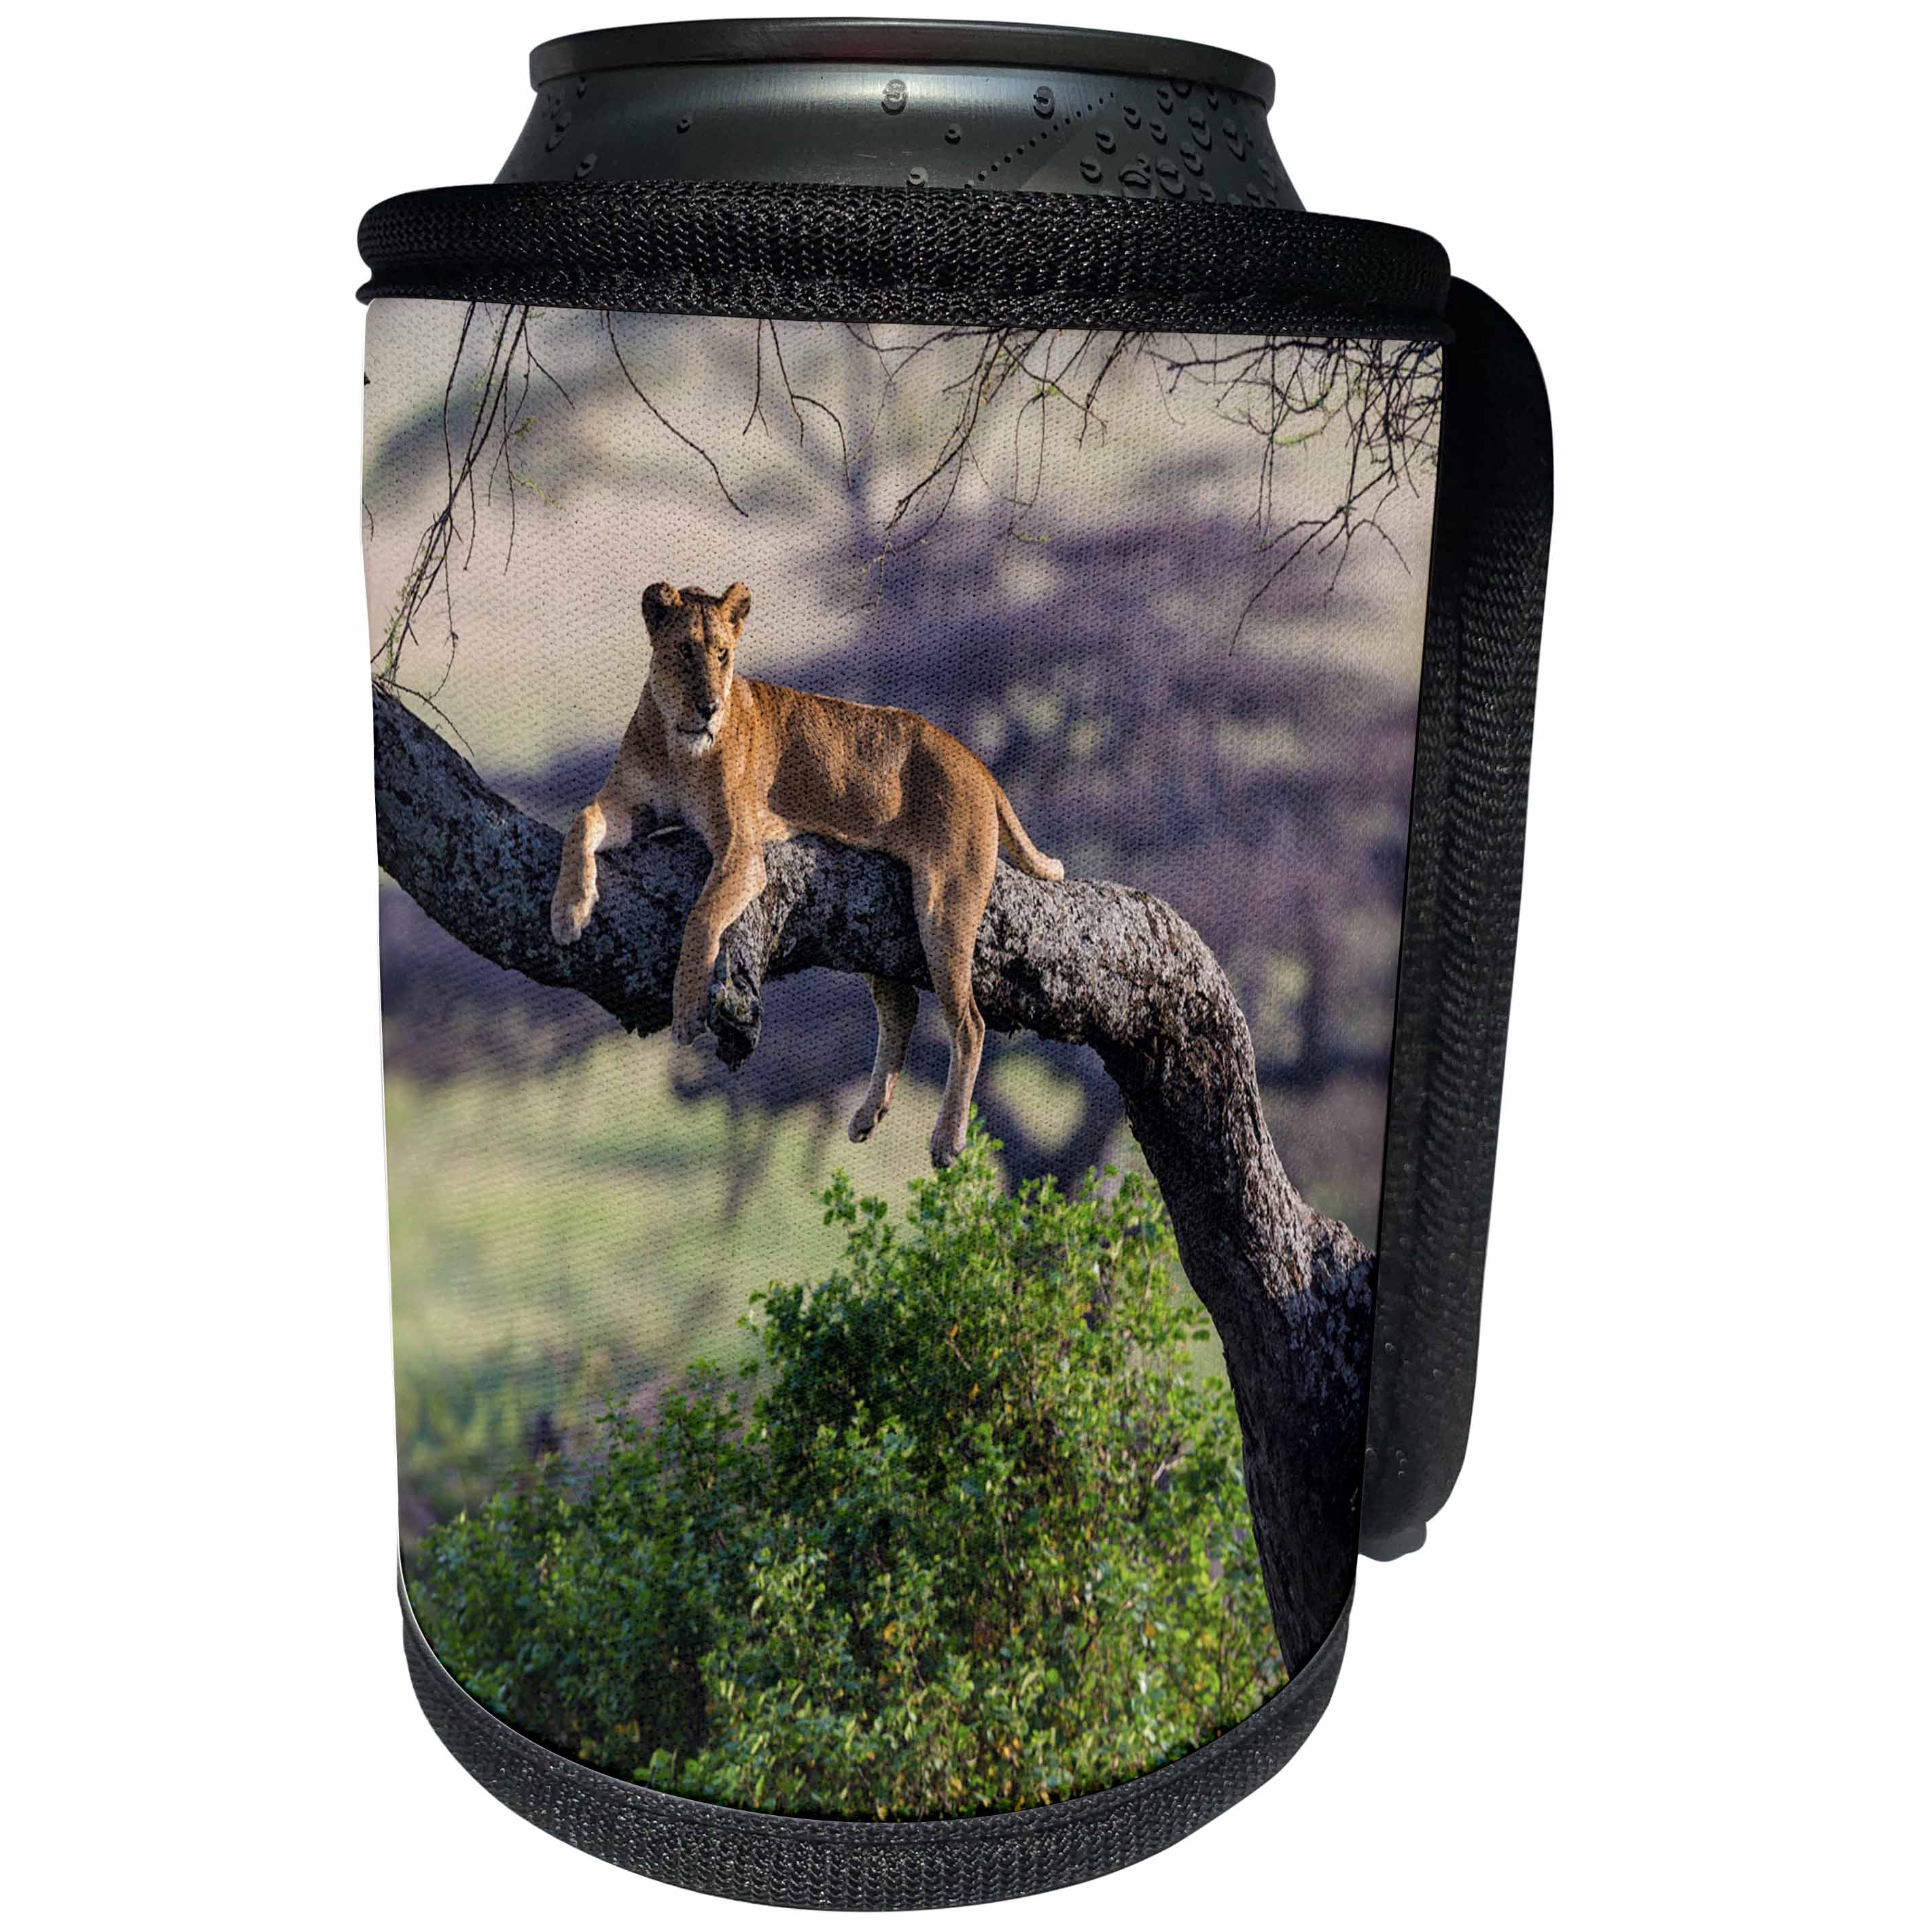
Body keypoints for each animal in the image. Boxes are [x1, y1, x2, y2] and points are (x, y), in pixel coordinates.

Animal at [550, 581, 1064, 1168]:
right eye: (684, 651)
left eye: (723, 654)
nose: (709, 707)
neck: (677, 741)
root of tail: (976, 762)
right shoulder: (630, 805)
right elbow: (581, 822)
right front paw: (568, 911)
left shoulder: (743, 851)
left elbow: (702, 917)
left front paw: (686, 1010)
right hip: (877, 923)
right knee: (903, 1006)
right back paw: (868, 1115)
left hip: (944, 905)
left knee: (969, 1024)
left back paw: (947, 1138)